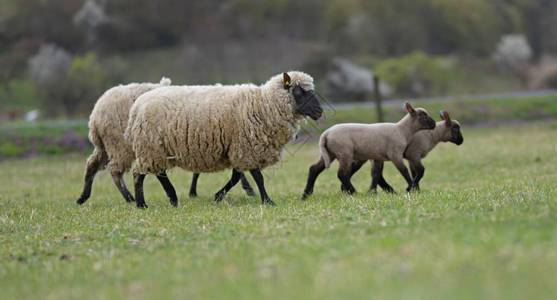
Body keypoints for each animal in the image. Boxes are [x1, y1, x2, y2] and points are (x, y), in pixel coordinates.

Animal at [125, 71, 322, 207]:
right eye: (298, 91)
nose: (320, 112)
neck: (264, 104)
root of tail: (136, 106)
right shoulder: (247, 147)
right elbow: (258, 177)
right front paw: (267, 201)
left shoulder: (237, 148)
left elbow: (236, 177)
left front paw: (218, 196)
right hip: (150, 146)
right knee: (139, 173)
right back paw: (142, 204)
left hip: (155, 148)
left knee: (158, 173)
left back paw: (171, 198)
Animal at [302, 102, 436, 199]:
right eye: (423, 115)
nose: (434, 124)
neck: (402, 131)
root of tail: (325, 134)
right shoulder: (395, 154)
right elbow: (404, 171)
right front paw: (411, 187)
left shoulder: (378, 158)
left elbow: (376, 174)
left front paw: (373, 192)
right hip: (344, 153)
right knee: (341, 174)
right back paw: (354, 192)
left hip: (330, 153)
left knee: (314, 169)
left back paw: (306, 194)